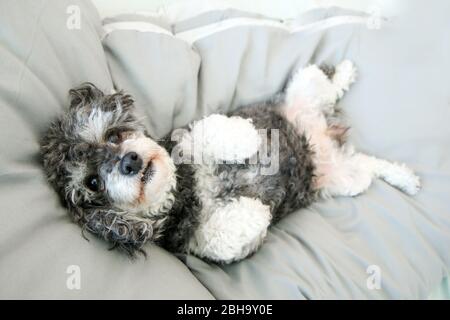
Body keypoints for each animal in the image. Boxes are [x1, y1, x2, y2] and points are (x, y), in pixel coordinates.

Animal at [40, 61, 420, 264]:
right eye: (92, 183)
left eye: (114, 136)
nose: (130, 161)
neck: (185, 191)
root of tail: (324, 135)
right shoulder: (202, 245)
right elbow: (229, 234)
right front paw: (258, 213)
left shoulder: (184, 139)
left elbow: (205, 131)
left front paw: (244, 138)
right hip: (346, 178)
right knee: (369, 166)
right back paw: (406, 178)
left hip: (305, 85)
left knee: (325, 82)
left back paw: (345, 71)